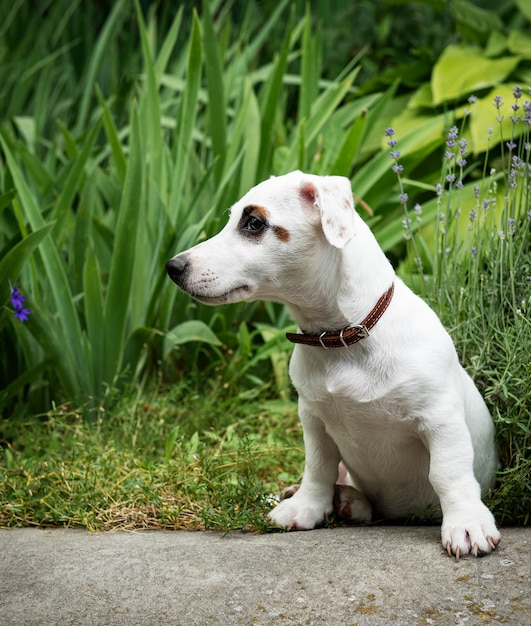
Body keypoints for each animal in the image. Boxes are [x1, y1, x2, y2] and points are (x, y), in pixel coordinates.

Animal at [167, 169, 502, 556]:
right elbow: (319, 468)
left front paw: (466, 523)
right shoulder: (314, 420)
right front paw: (306, 505)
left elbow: (449, 472)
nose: (173, 267)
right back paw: (340, 499)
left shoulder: (440, 420)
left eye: (254, 223)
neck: (341, 338)